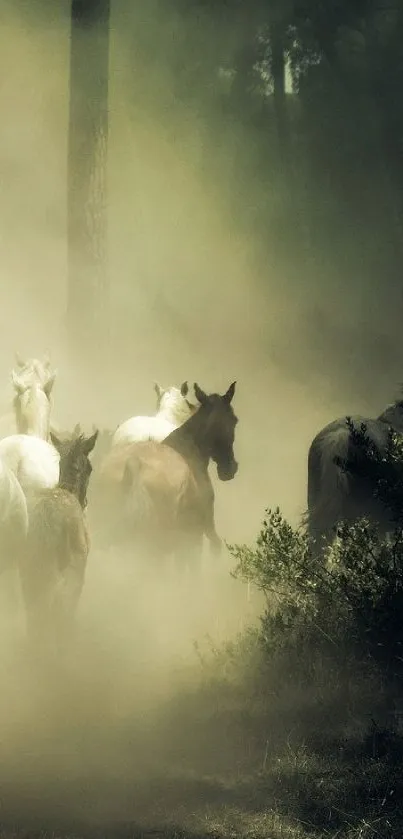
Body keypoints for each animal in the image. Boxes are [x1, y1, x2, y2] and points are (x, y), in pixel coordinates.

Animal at [20, 426, 99, 656]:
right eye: (90, 468)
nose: (86, 501)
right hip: (65, 574)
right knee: (57, 610)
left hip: (30, 571)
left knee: (34, 612)